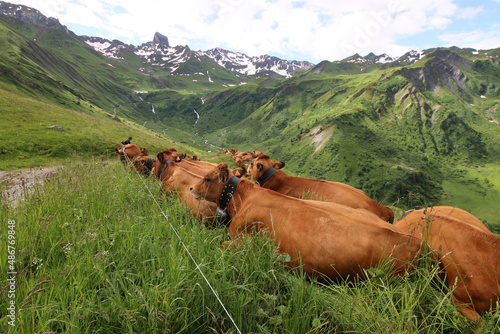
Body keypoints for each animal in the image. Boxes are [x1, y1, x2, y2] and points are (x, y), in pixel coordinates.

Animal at [191, 163, 422, 284]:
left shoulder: (244, 242)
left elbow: (223, 244)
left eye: (207, 179)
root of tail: (416, 241)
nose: (192, 188)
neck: (242, 199)